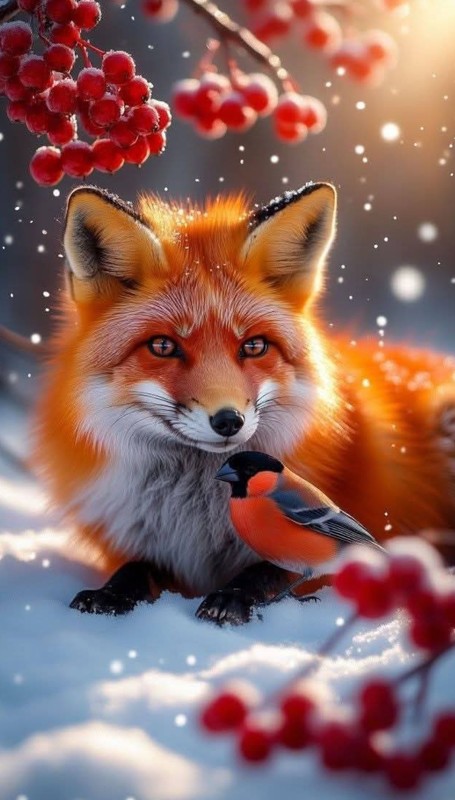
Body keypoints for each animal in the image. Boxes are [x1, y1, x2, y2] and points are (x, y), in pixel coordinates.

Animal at [33, 182, 455, 624]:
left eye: (253, 346)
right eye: (163, 346)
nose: (228, 420)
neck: (197, 512)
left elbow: (268, 572)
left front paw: (230, 598)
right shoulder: (149, 549)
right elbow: (134, 569)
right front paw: (109, 593)